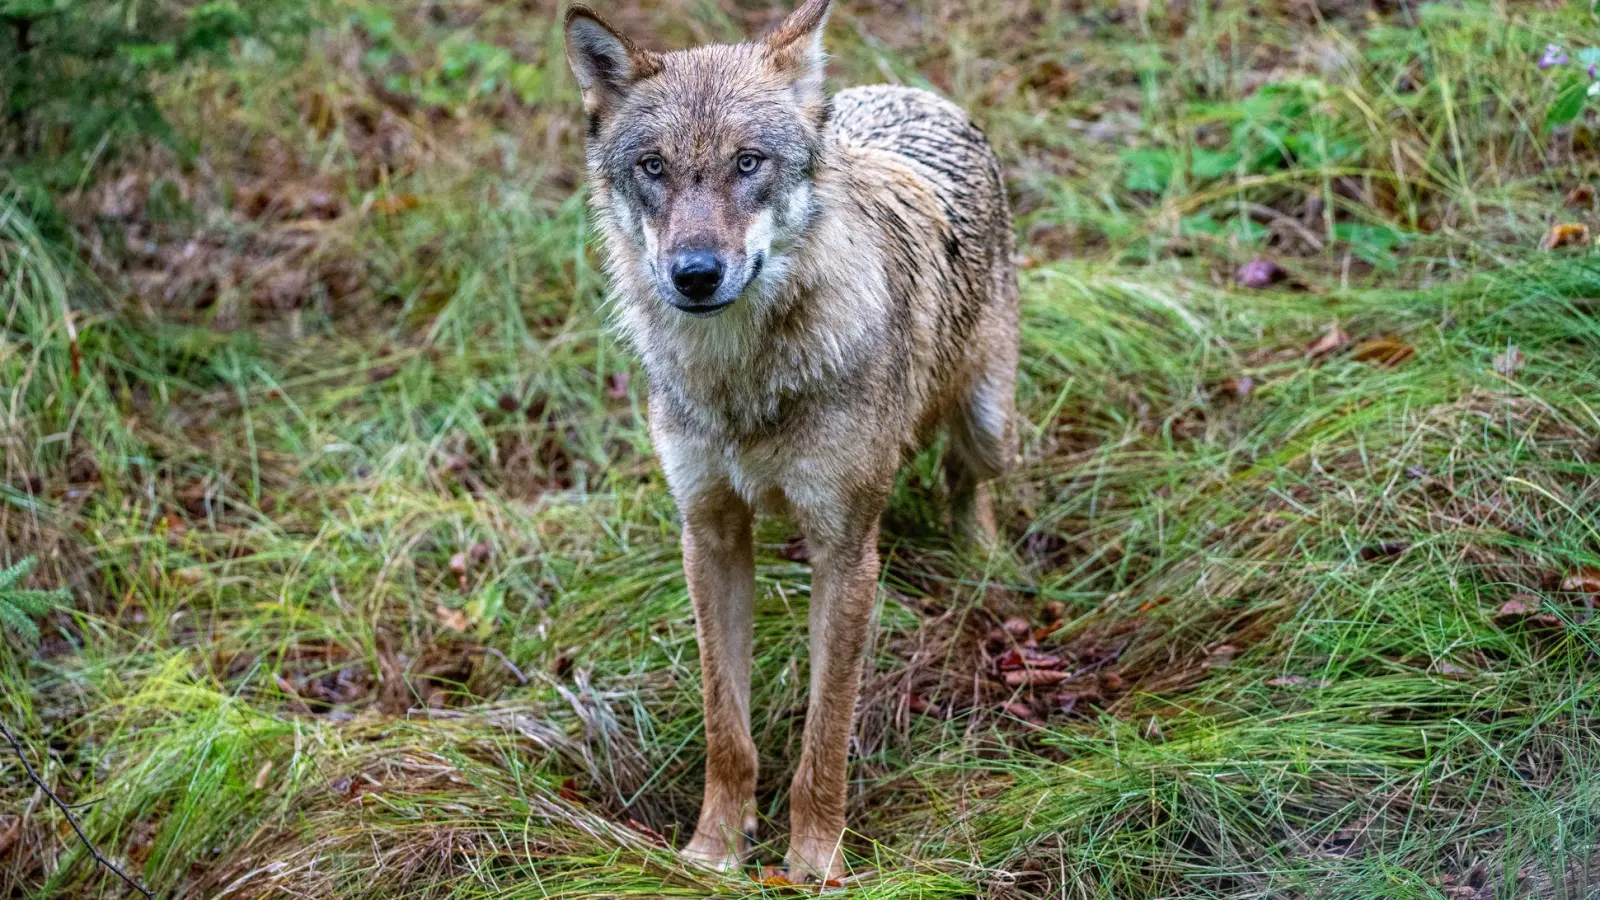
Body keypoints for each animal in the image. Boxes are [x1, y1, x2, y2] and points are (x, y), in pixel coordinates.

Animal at [556, 0, 1017, 877]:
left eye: (748, 163)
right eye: (655, 167)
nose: (695, 273)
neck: (742, 381)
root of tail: (911, 94)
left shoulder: (845, 553)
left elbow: (824, 737)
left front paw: (814, 865)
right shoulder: (708, 535)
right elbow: (725, 729)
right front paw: (711, 852)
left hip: (989, 427)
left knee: (968, 484)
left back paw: (983, 564)